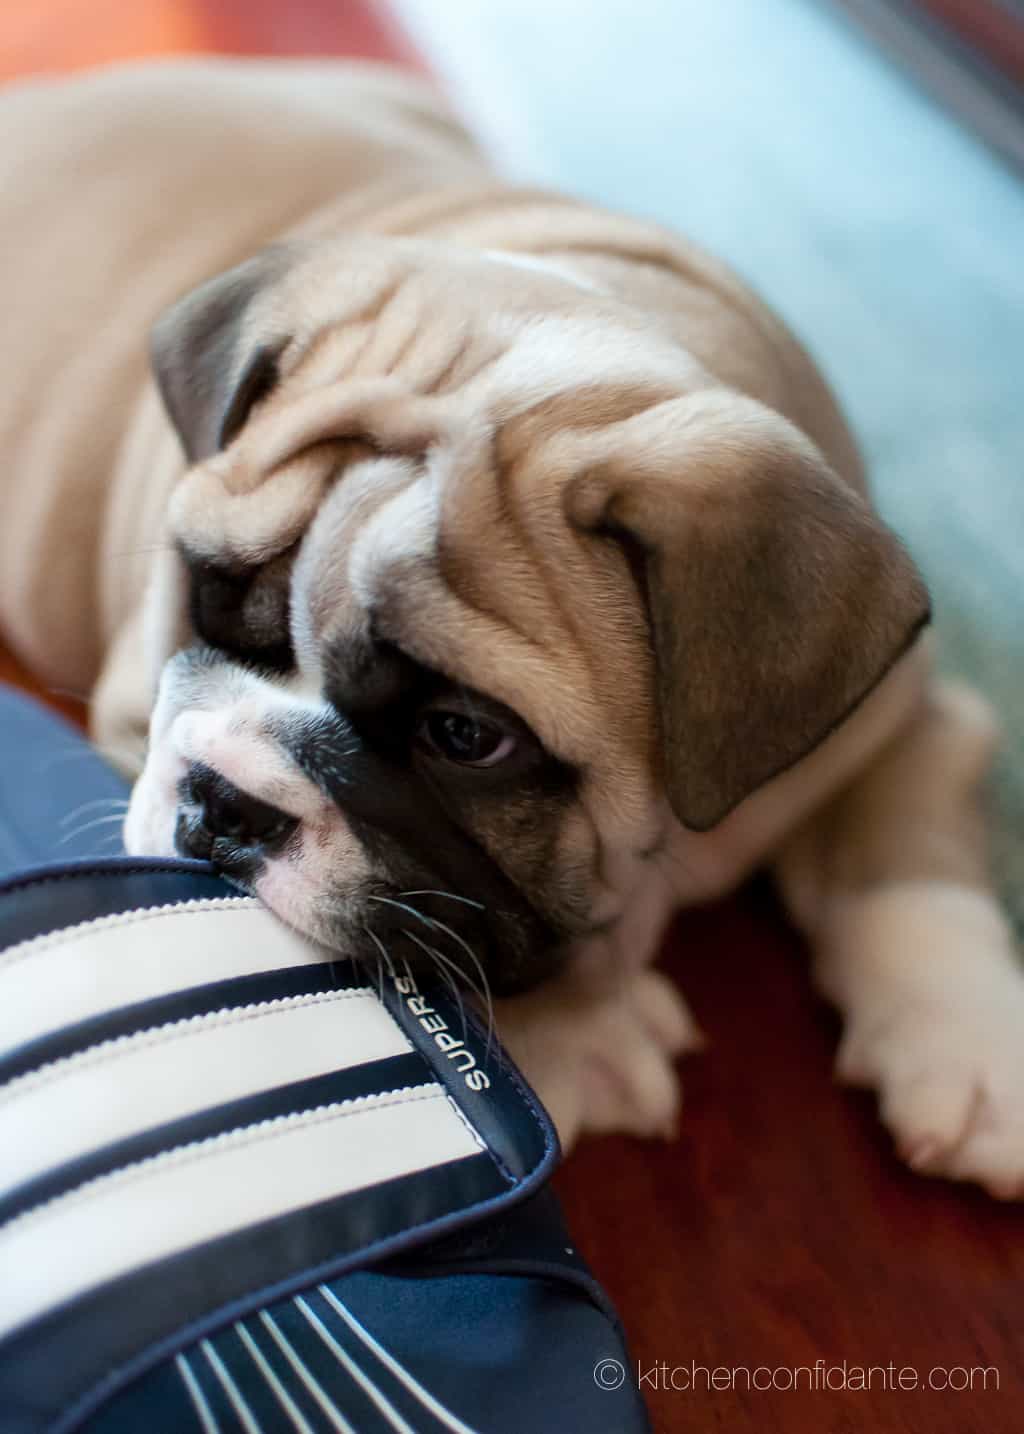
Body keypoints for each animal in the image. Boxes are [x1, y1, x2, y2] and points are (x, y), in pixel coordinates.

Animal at [1, 61, 1021, 1193]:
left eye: (463, 736)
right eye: (212, 597)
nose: (227, 804)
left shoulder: (901, 716)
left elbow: (911, 853)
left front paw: (972, 1049)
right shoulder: (137, 710)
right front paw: (584, 1036)